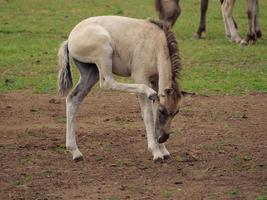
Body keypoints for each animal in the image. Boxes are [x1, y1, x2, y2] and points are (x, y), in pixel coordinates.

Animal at [58, 16, 184, 162]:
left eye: (176, 112)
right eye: (163, 111)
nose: (163, 138)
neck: (155, 44)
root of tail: (70, 39)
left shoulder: (155, 80)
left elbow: (154, 109)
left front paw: (164, 151)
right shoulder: (141, 77)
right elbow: (147, 113)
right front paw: (156, 152)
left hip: (91, 72)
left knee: (73, 99)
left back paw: (75, 152)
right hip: (104, 51)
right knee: (107, 82)